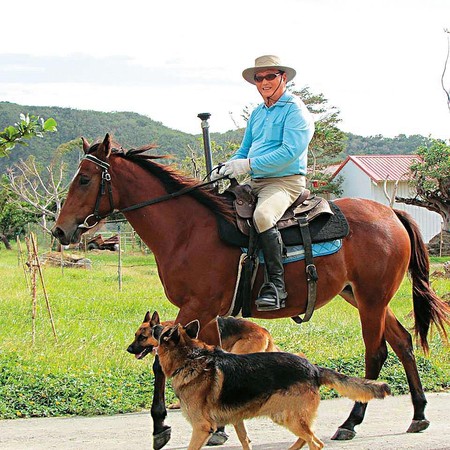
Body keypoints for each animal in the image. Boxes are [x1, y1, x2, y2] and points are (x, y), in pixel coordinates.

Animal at [51, 134, 446, 450]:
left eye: (84, 179)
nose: (59, 230)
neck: (187, 230)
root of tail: (392, 213)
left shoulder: (196, 306)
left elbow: (160, 364)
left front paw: (161, 426)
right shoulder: (207, 313)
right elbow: (212, 357)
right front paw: (219, 427)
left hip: (371, 299)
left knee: (376, 352)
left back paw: (351, 422)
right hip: (365, 297)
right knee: (403, 342)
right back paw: (419, 414)